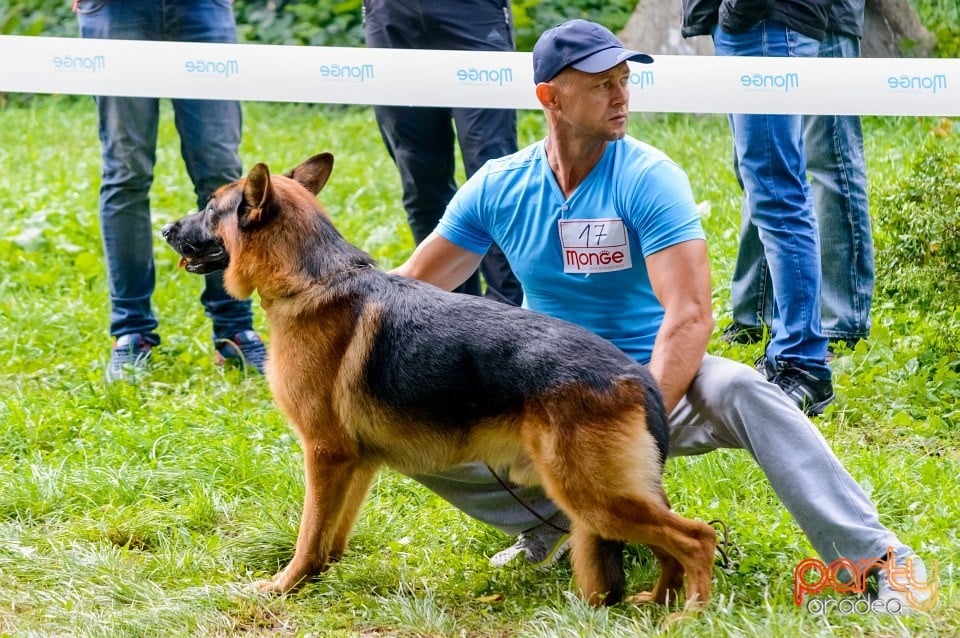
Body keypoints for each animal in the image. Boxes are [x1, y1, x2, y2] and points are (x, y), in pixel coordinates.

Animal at [161, 152, 716, 612]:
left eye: (210, 209)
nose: (165, 228)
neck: (313, 278)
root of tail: (636, 377)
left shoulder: (323, 453)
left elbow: (307, 533)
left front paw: (286, 586)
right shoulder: (355, 462)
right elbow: (331, 534)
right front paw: (321, 575)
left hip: (591, 495)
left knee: (696, 538)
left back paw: (689, 613)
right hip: (603, 496)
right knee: (670, 545)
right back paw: (658, 600)